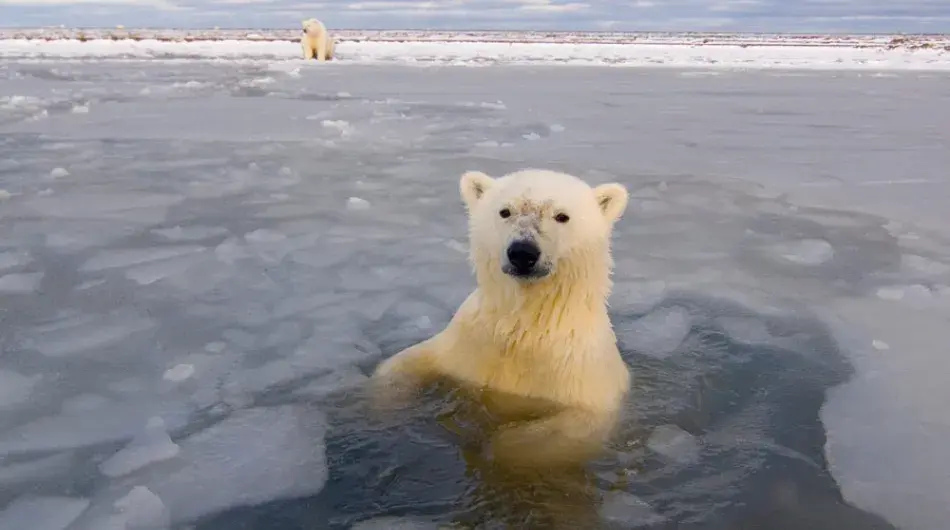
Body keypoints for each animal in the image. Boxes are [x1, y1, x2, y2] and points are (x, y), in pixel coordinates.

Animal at [370, 168, 632, 470]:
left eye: (562, 216)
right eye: (505, 211)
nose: (522, 253)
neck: (526, 324)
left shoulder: (581, 379)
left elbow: (564, 431)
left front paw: (493, 448)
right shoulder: (468, 344)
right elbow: (405, 364)